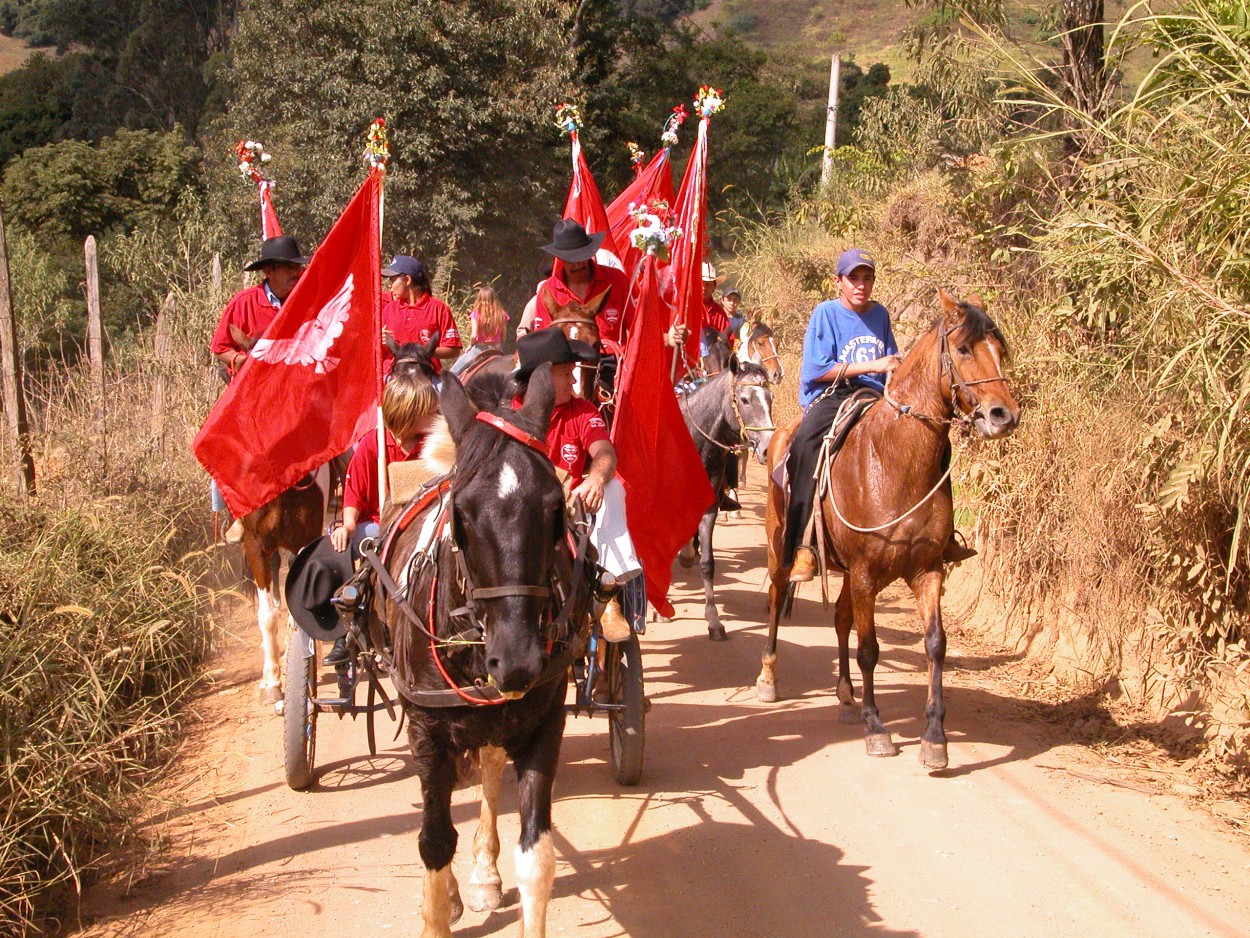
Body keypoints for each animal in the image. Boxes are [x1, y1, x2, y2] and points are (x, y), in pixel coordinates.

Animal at [755, 292, 1020, 770]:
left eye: (1000, 351)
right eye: (963, 350)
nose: (1003, 415)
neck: (896, 458)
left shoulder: (927, 570)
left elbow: (935, 644)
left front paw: (935, 738)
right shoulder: (865, 574)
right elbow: (869, 649)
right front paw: (877, 728)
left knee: (840, 619)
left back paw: (845, 696)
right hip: (780, 548)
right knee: (775, 600)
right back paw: (768, 678)